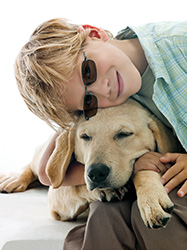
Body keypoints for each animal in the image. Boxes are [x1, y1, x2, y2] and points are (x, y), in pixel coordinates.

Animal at [0, 98, 181, 228]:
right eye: (84, 136)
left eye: (124, 134)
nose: (96, 173)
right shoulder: (56, 199)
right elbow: (75, 187)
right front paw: (106, 190)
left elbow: (145, 169)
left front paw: (151, 198)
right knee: (35, 166)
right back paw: (14, 178)